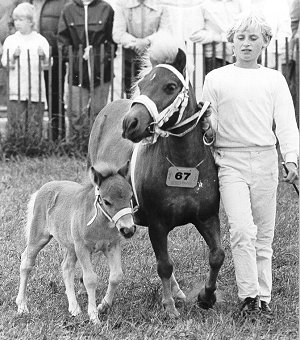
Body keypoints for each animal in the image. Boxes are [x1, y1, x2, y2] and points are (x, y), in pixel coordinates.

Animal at [17, 162, 137, 324]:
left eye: (130, 197)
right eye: (106, 201)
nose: (128, 230)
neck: (99, 223)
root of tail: (42, 188)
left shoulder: (112, 246)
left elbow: (116, 275)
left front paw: (103, 306)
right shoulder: (82, 248)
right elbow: (90, 279)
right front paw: (94, 316)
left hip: (70, 246)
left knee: (66, 267)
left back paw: (74, 308)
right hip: (39, 237)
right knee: (26, 262)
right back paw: (22, 306)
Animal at [88, 36, 224, 316]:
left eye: (170, 86)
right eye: (141, 85)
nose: (130, 123)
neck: (184, 164)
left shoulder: (207, 217)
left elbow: (217, 255)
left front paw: (206, 297)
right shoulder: (158, 225)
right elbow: (164, 265)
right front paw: (170, 307)